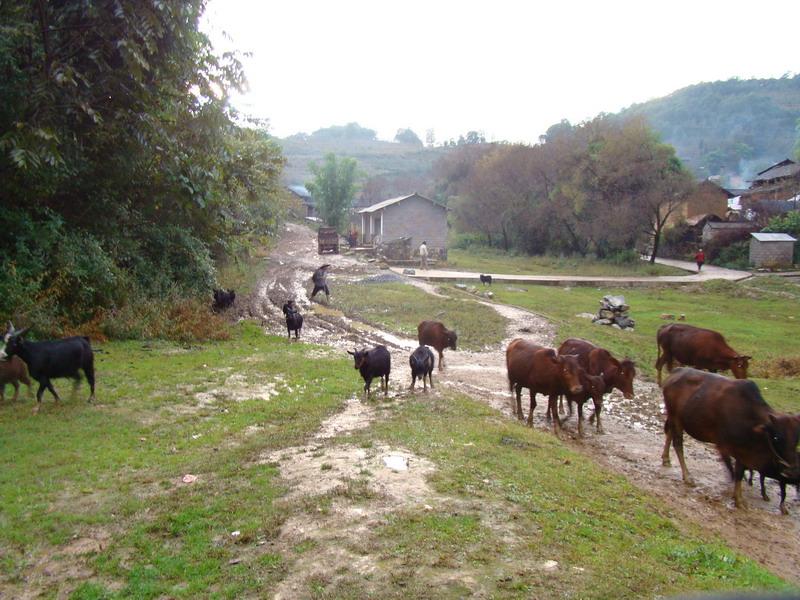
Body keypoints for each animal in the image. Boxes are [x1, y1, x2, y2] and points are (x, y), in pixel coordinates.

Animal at [664, 368, 800, 512]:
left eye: (797, 439)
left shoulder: (742, 453)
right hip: (676, 418)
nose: (791, 471)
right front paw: (738, 498)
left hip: (674, 419)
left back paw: (666, 459)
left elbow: (739, 472)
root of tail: (677, 371)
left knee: (669, 434)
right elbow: (733, 470)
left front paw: (739, 497)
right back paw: (687, 476)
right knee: (677, 444)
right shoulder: (723, 445)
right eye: (776, 437)